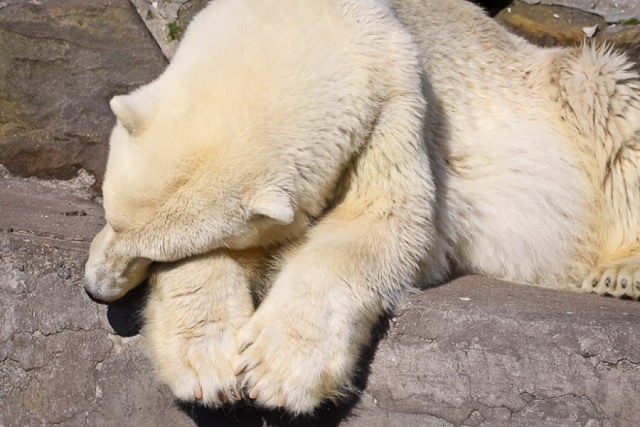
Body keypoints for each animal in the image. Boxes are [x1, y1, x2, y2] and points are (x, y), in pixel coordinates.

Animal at [85, 0, 640, 416]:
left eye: (150, 253)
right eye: (110, 217)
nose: (94, 289)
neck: (319, 17)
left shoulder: (399, 103)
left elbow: (382, 223)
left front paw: (274, 371)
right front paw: (209, 365)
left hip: (567, 88)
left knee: (609, 93)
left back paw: (619, 273)